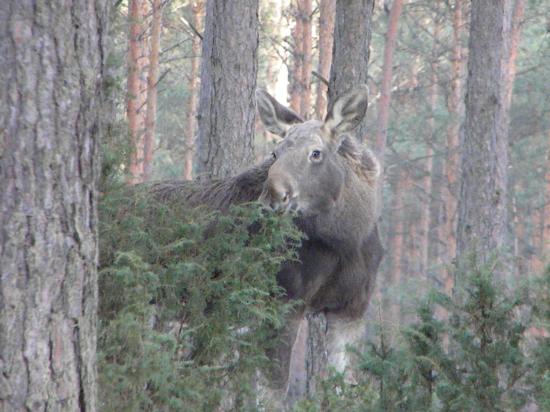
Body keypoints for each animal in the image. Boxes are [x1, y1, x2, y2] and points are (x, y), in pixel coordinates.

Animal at [149, 84, 386, 396]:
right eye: (275, 153)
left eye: (316, 153)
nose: (273, 196)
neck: (348, 239)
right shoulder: (282, 304)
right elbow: (271, 391)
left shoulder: (351, 311)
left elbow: (343, 388)